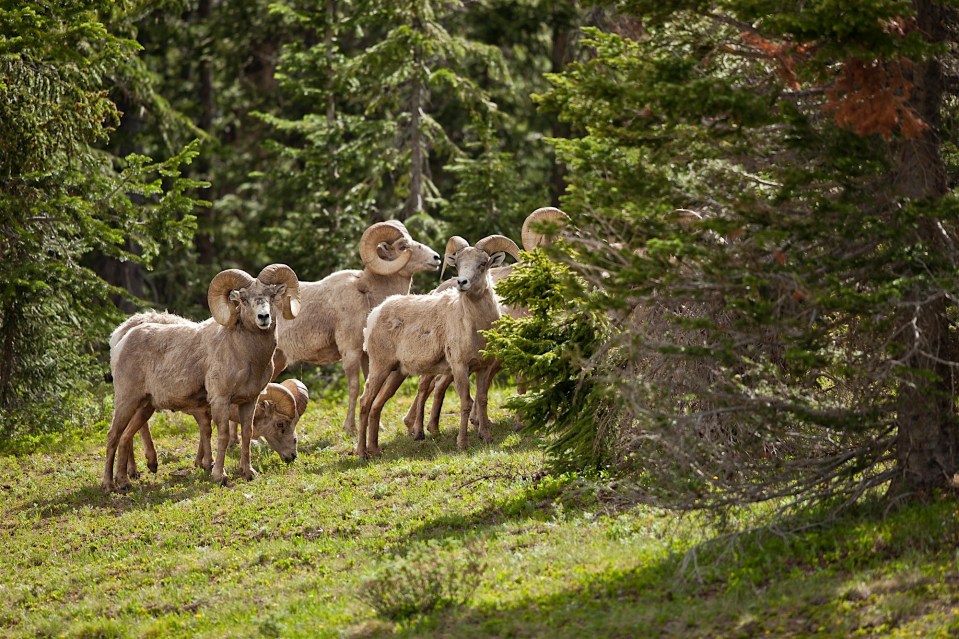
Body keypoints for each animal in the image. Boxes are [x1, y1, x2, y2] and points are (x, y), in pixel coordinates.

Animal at [102, 264, 300, 492]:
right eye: (243, 299)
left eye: (271, 295)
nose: (264, 317)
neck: (244, 354)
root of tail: (121, 341)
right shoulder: (220, 400)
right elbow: (222, 435)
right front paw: (219, 475)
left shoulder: (249, 401)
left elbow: (246, 433)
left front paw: (248, 473)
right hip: (126, 401)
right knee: (113, 436)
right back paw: (109, 485)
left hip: (145, 406)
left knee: (126, 436)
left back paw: (125, 481)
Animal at [274, 220, 441, 437]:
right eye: (403, 246)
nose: (436, 258)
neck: (367, 294)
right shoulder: (350, 351)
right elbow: (354, 388)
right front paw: (349, 428)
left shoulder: (367, 356)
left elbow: (371, 388)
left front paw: (378, 426)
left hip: (278, 360)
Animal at [356, 234, 521, 458]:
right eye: (458, 264)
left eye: (483, 264)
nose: (462, 282)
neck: (475, 326)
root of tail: (375, 313)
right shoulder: (459, 367)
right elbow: (466, 402)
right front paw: (462, 443)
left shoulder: (484, 368)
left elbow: (482, 399)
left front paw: (486, 437)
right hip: (379, 367)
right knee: (365, 402)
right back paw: (361, 453)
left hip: (396, 373)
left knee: (376, 405)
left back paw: (375, 450)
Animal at [402, 208, 570, 439]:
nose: (462, 282)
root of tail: (437, 291)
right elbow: (521, 387)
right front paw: (520, 425)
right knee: (424, 385)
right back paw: (419, 431)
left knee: (439, 386)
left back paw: (436, 428)